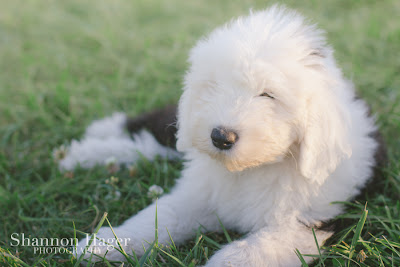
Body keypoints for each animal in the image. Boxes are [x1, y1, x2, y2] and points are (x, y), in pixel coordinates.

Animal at [73, 5, 382, 266]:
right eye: (215, 86)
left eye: (268, 95)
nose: (221, 137)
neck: (250, 170)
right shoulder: (198, 195)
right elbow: (161, 216)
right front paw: (105, 243)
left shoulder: (305, 225)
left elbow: (249, 252)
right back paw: (86, 148)